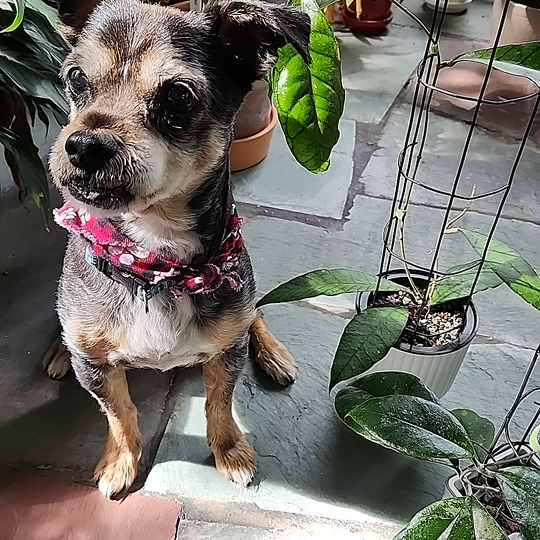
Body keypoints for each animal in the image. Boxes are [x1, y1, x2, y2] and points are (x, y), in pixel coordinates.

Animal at [44, 0, 310, 498]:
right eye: (76, 78)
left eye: (179, 97)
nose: (84, 144)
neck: (155, 265)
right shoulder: (96, 370)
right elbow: (120, 413)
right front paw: (120, 463)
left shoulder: (227, 352)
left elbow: (219, 402)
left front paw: (230, 450)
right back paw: (57, 351)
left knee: (255, 312)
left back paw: (273, 353)